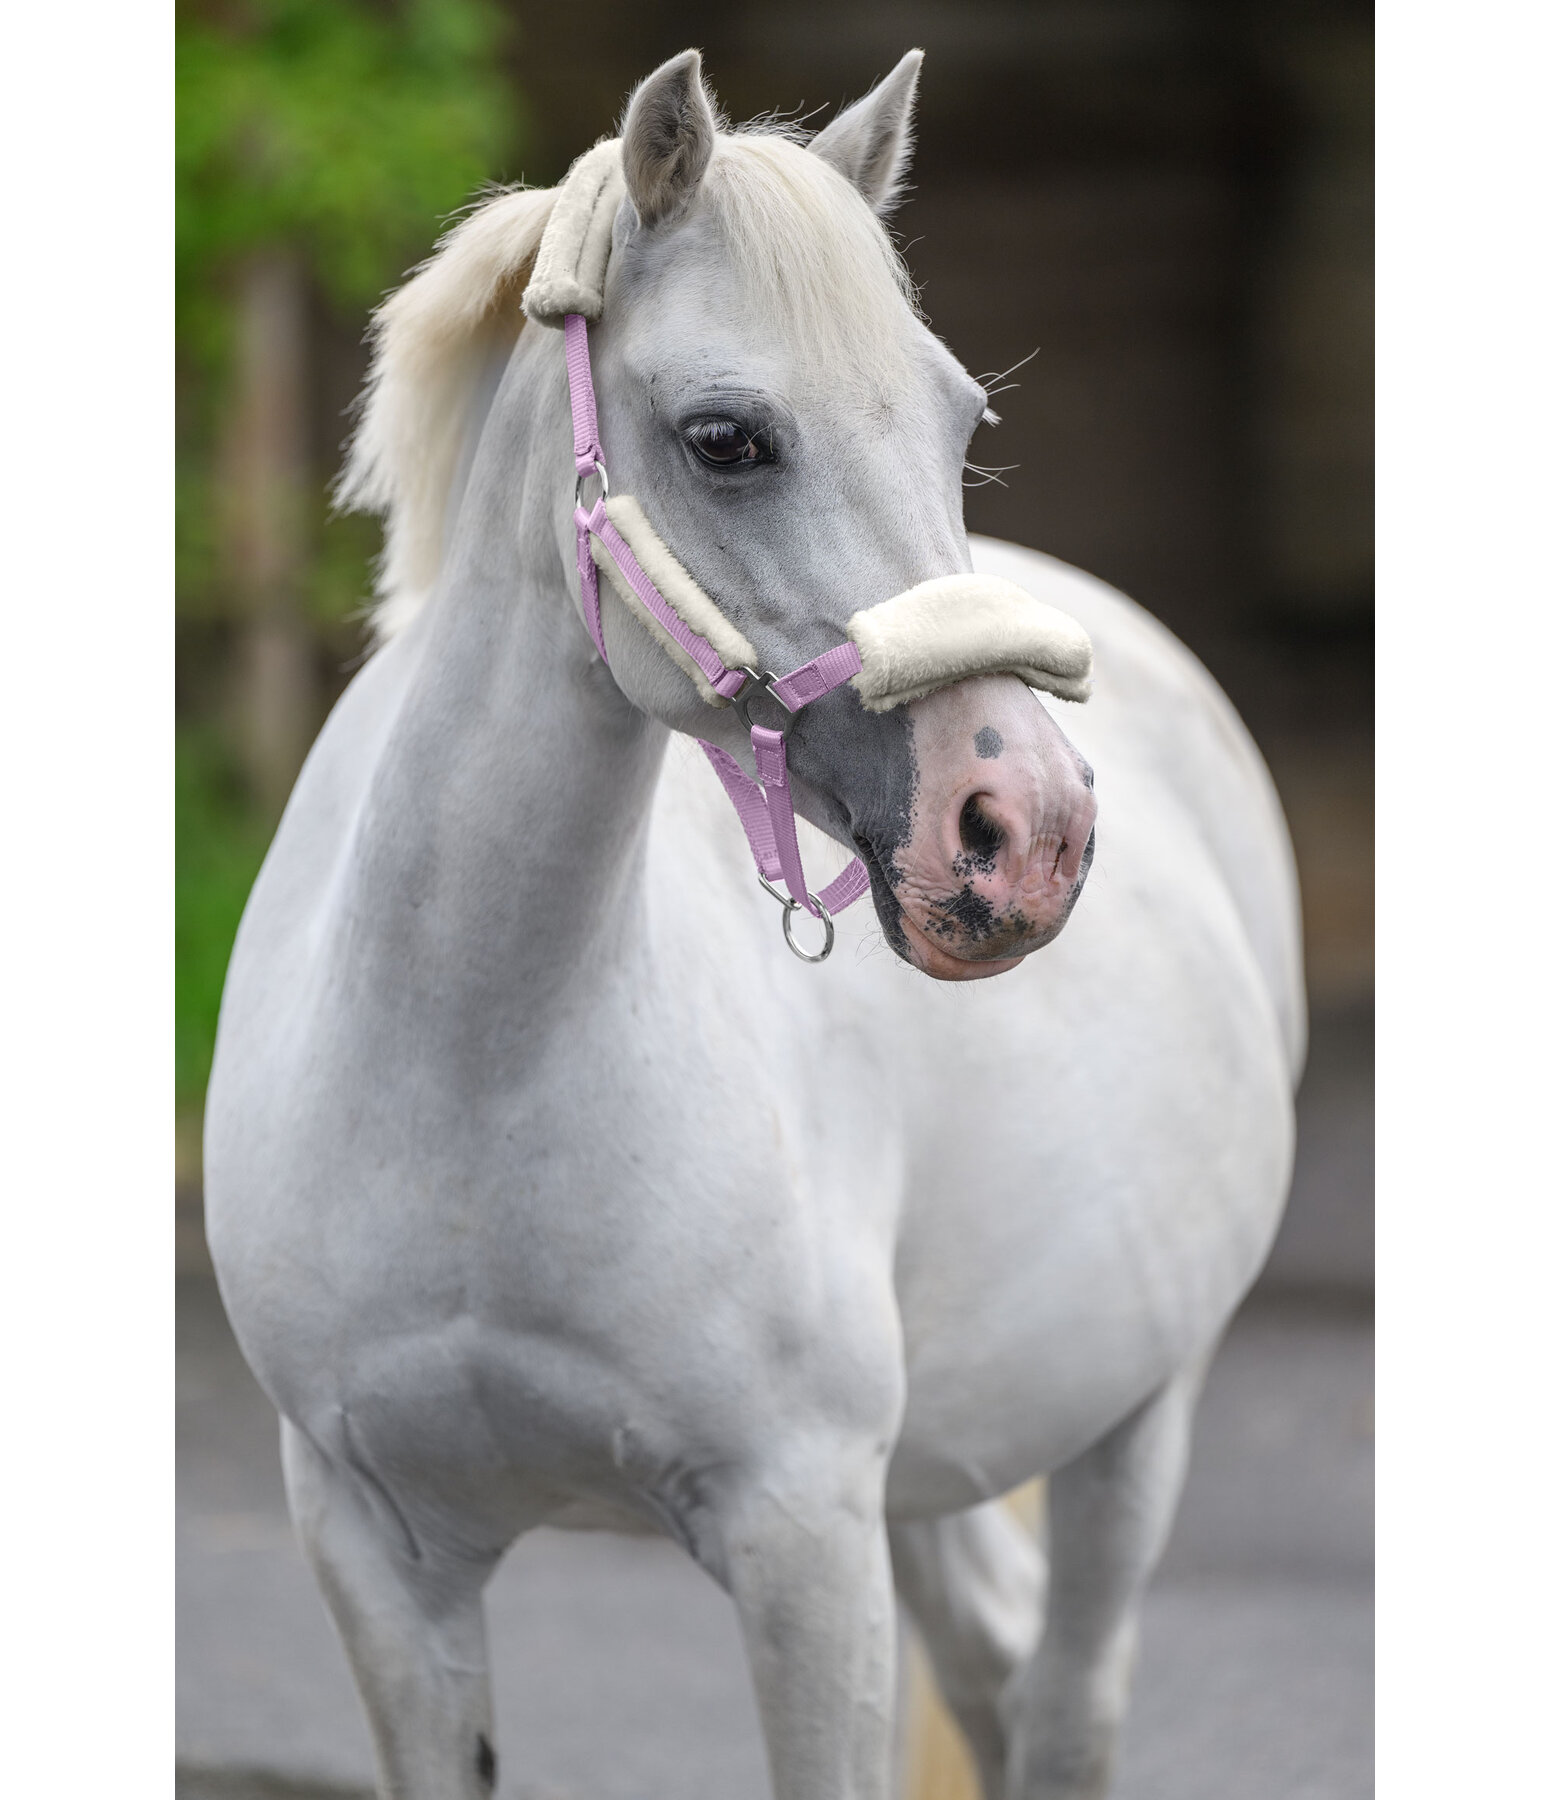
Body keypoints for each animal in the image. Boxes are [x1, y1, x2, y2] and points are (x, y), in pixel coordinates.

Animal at [204, 48, 1303, 1800]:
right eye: (725, 439)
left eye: (961, 418)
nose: (1027, 827)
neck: (471, 1071)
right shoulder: (374, 1555)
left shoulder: (805, 1537)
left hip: (1132, 1422)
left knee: (1066, 1700)